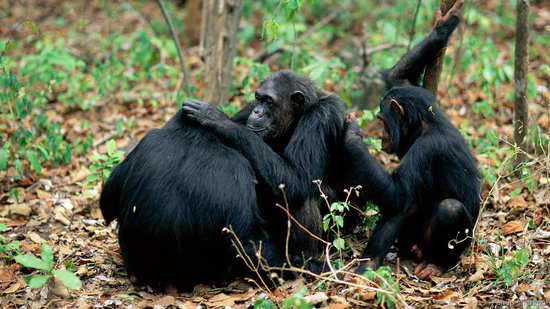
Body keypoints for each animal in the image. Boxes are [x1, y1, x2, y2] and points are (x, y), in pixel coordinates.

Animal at [100, 70, 344, 292]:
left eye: (269, 101)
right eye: (258, 98)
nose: (257, 111)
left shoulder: (320, 118)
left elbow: (298, 176)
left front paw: (217, 120)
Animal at [344, 0, 484, 280]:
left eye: (382, 120)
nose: (382, 134)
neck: (422, 125)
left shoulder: (426, 149)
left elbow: (398, 194)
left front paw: (353, 136)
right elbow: (397, 78)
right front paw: (442, 28)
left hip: (444, 245)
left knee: (446, 208)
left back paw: (437, 264)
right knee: (409, 205)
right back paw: (370, 262)